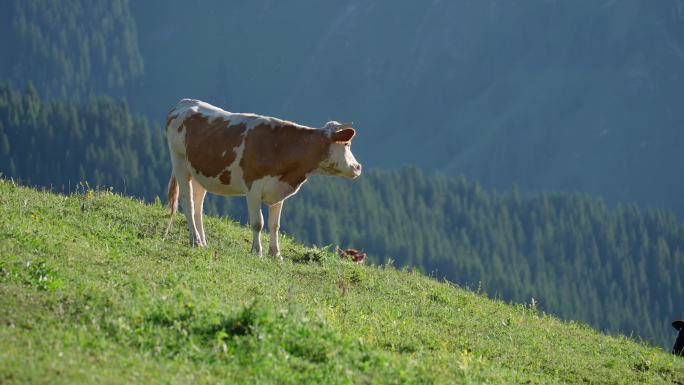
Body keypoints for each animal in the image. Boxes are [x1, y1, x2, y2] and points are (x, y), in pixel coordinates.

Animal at [164, 97, 364, 260]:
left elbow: (274, 225)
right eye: (347, 144)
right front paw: (257, 251)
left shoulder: (279, 188)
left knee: (198, 207)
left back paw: (204, 242)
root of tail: (184, 103)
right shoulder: (253, 188)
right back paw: (195, 241)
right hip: (180, 165)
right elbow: (257, 223)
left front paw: (276, 255)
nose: (358, 167)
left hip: (200, 174)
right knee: (188, 204)